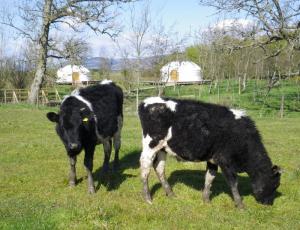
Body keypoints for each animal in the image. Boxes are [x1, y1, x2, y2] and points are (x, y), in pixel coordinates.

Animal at [138, 96, 282, 208]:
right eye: (275, 185)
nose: (269, 204)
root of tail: (146, 101)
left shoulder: (213, 159)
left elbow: (209, 178)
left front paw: (206, 200)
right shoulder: (226, 161)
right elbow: (233, 183)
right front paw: (240, 204)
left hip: (163, 148)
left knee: (159, 168)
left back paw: (171, 194)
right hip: (150, 145)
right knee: (145, 167)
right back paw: (147, 198)